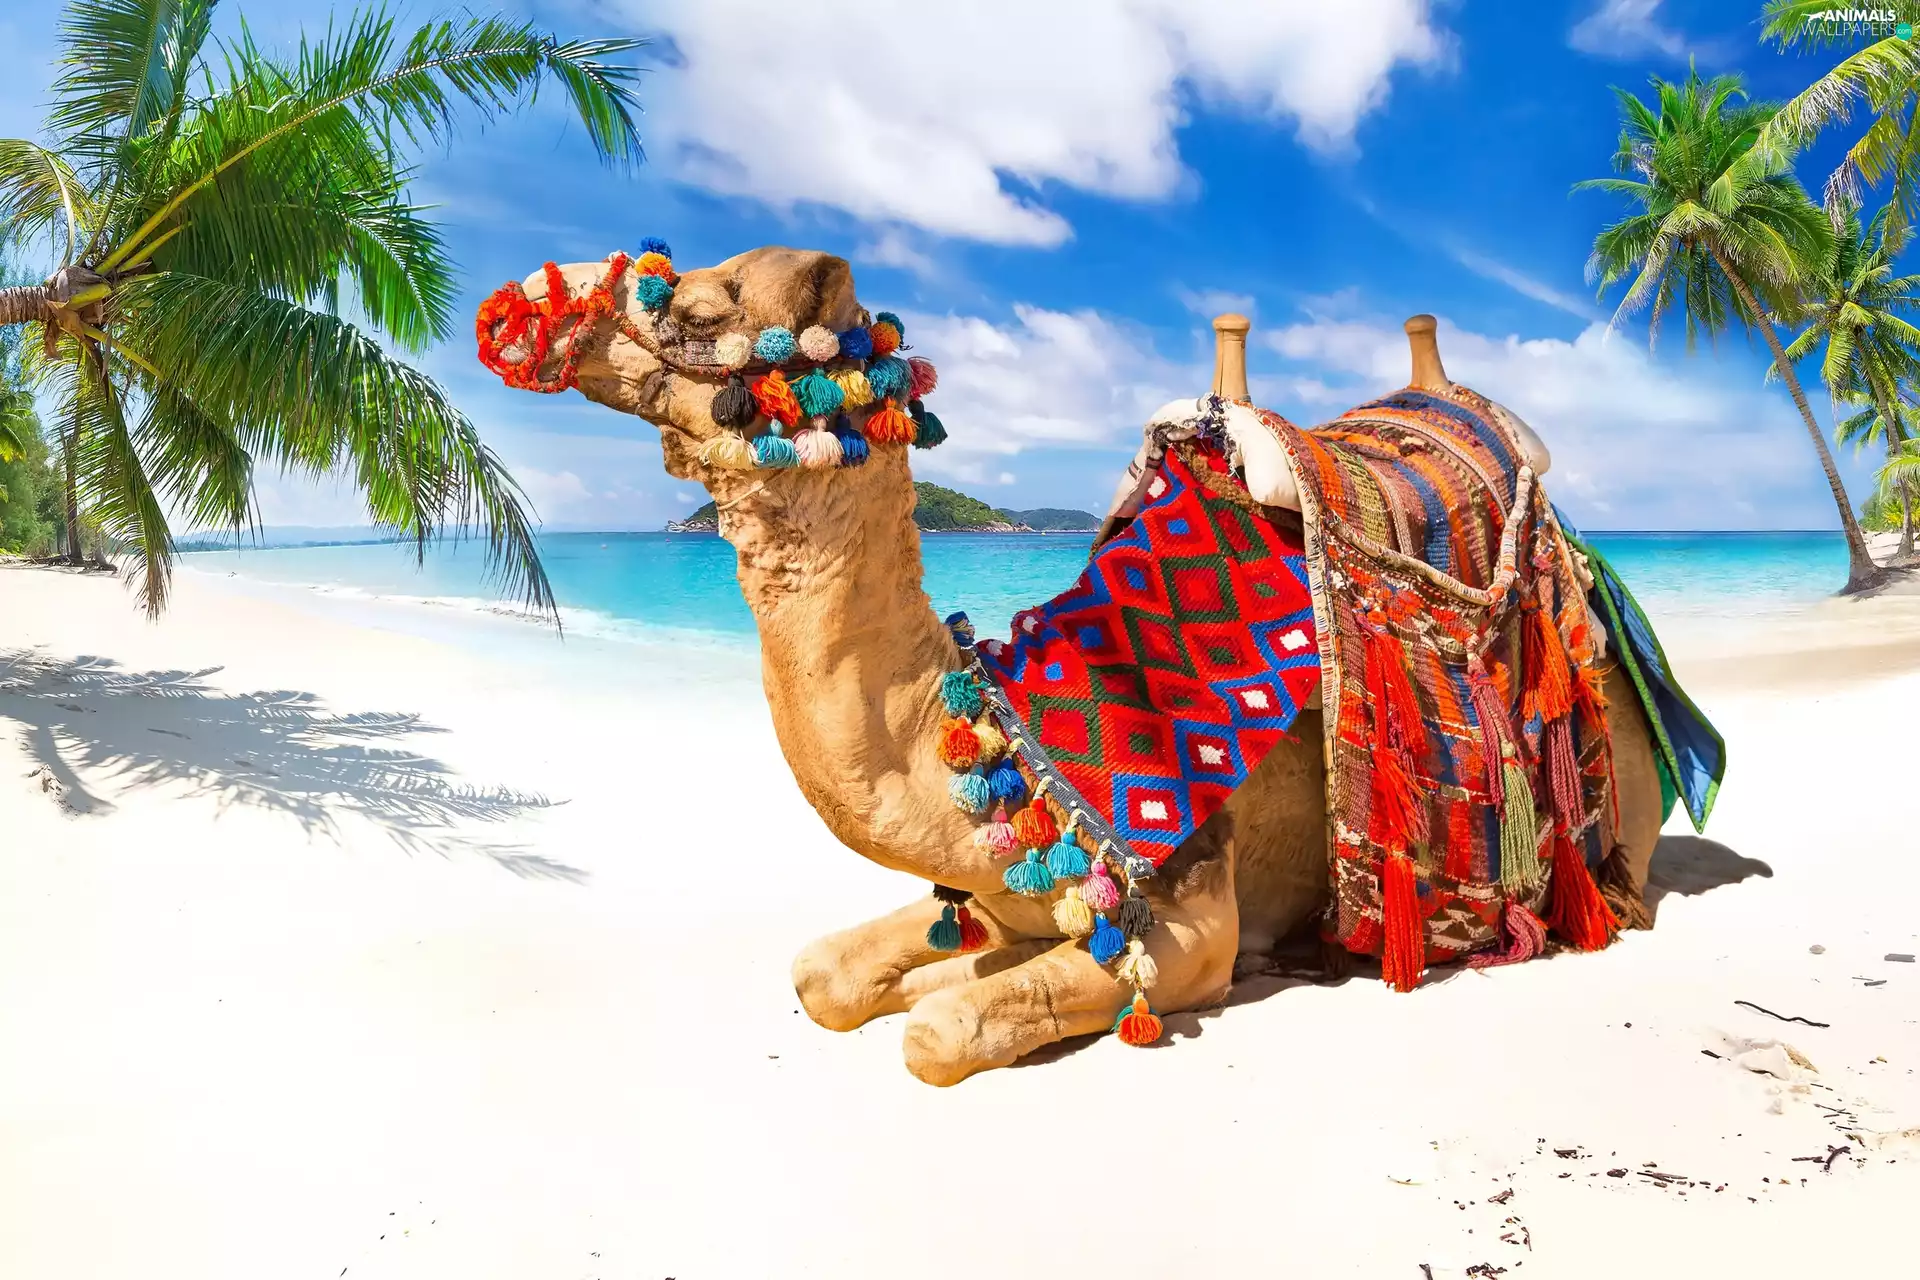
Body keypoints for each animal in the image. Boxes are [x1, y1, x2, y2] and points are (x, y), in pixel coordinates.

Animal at [481, 246, 1665, 1086]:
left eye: (697, 306)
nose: (529, 301)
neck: (1012, 743)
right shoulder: (992, 887)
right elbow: (825, 975)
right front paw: (925, 966)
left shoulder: (1189, 921)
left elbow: (941, 1025)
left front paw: (948, 989)